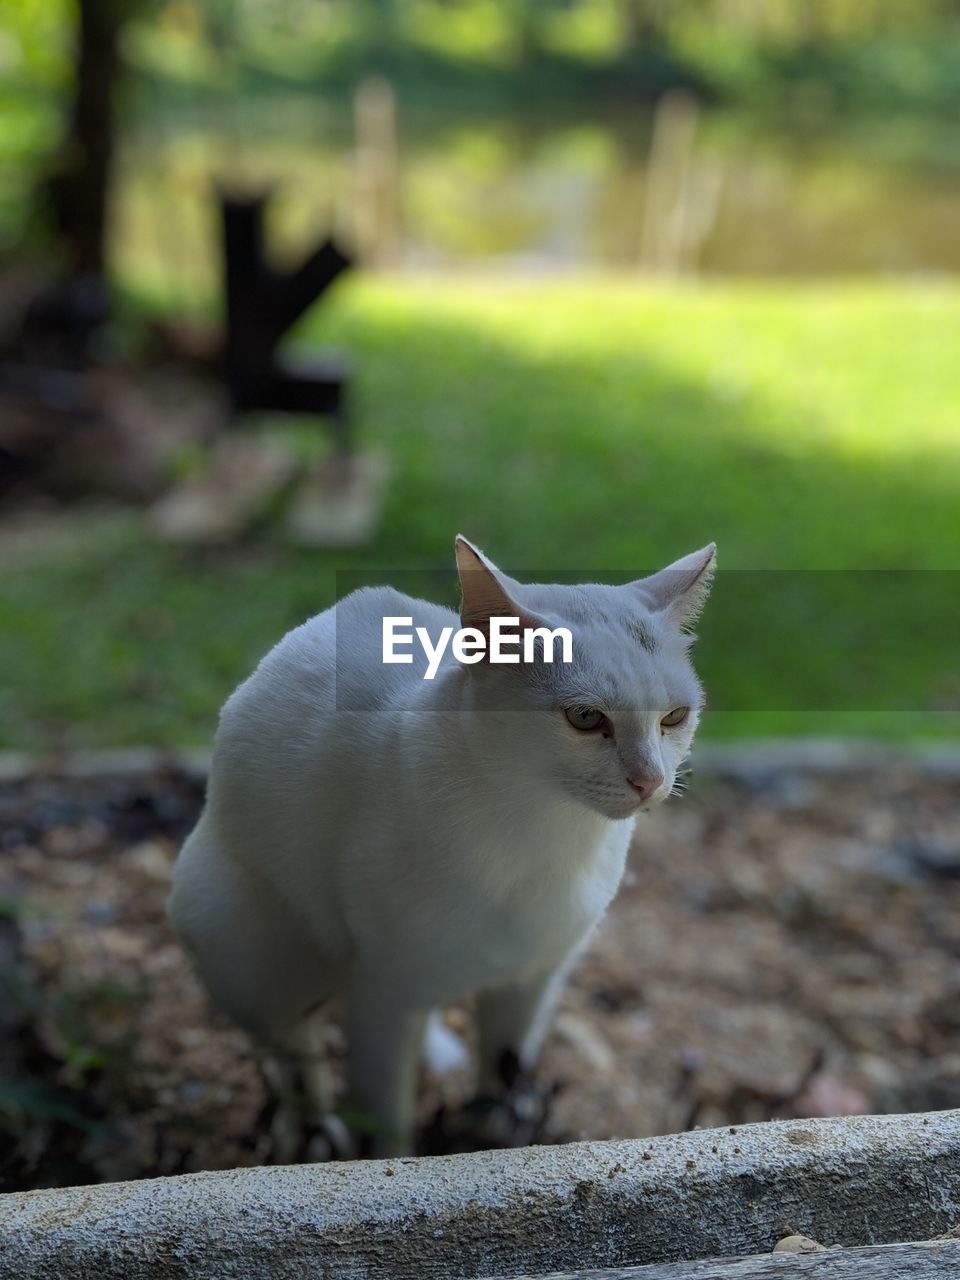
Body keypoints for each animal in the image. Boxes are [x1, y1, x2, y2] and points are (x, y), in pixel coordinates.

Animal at [168, 535, 716, 1157]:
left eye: (675, 717)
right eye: (584, 717)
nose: (650, 781)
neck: (550, 834)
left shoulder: (533, 981)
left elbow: (502, 1078)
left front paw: (493, 1134)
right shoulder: (385, 991)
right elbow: (386, 1123)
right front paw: (387, 1160)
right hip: (254, 961)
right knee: (291, 1053)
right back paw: (305, 1137)